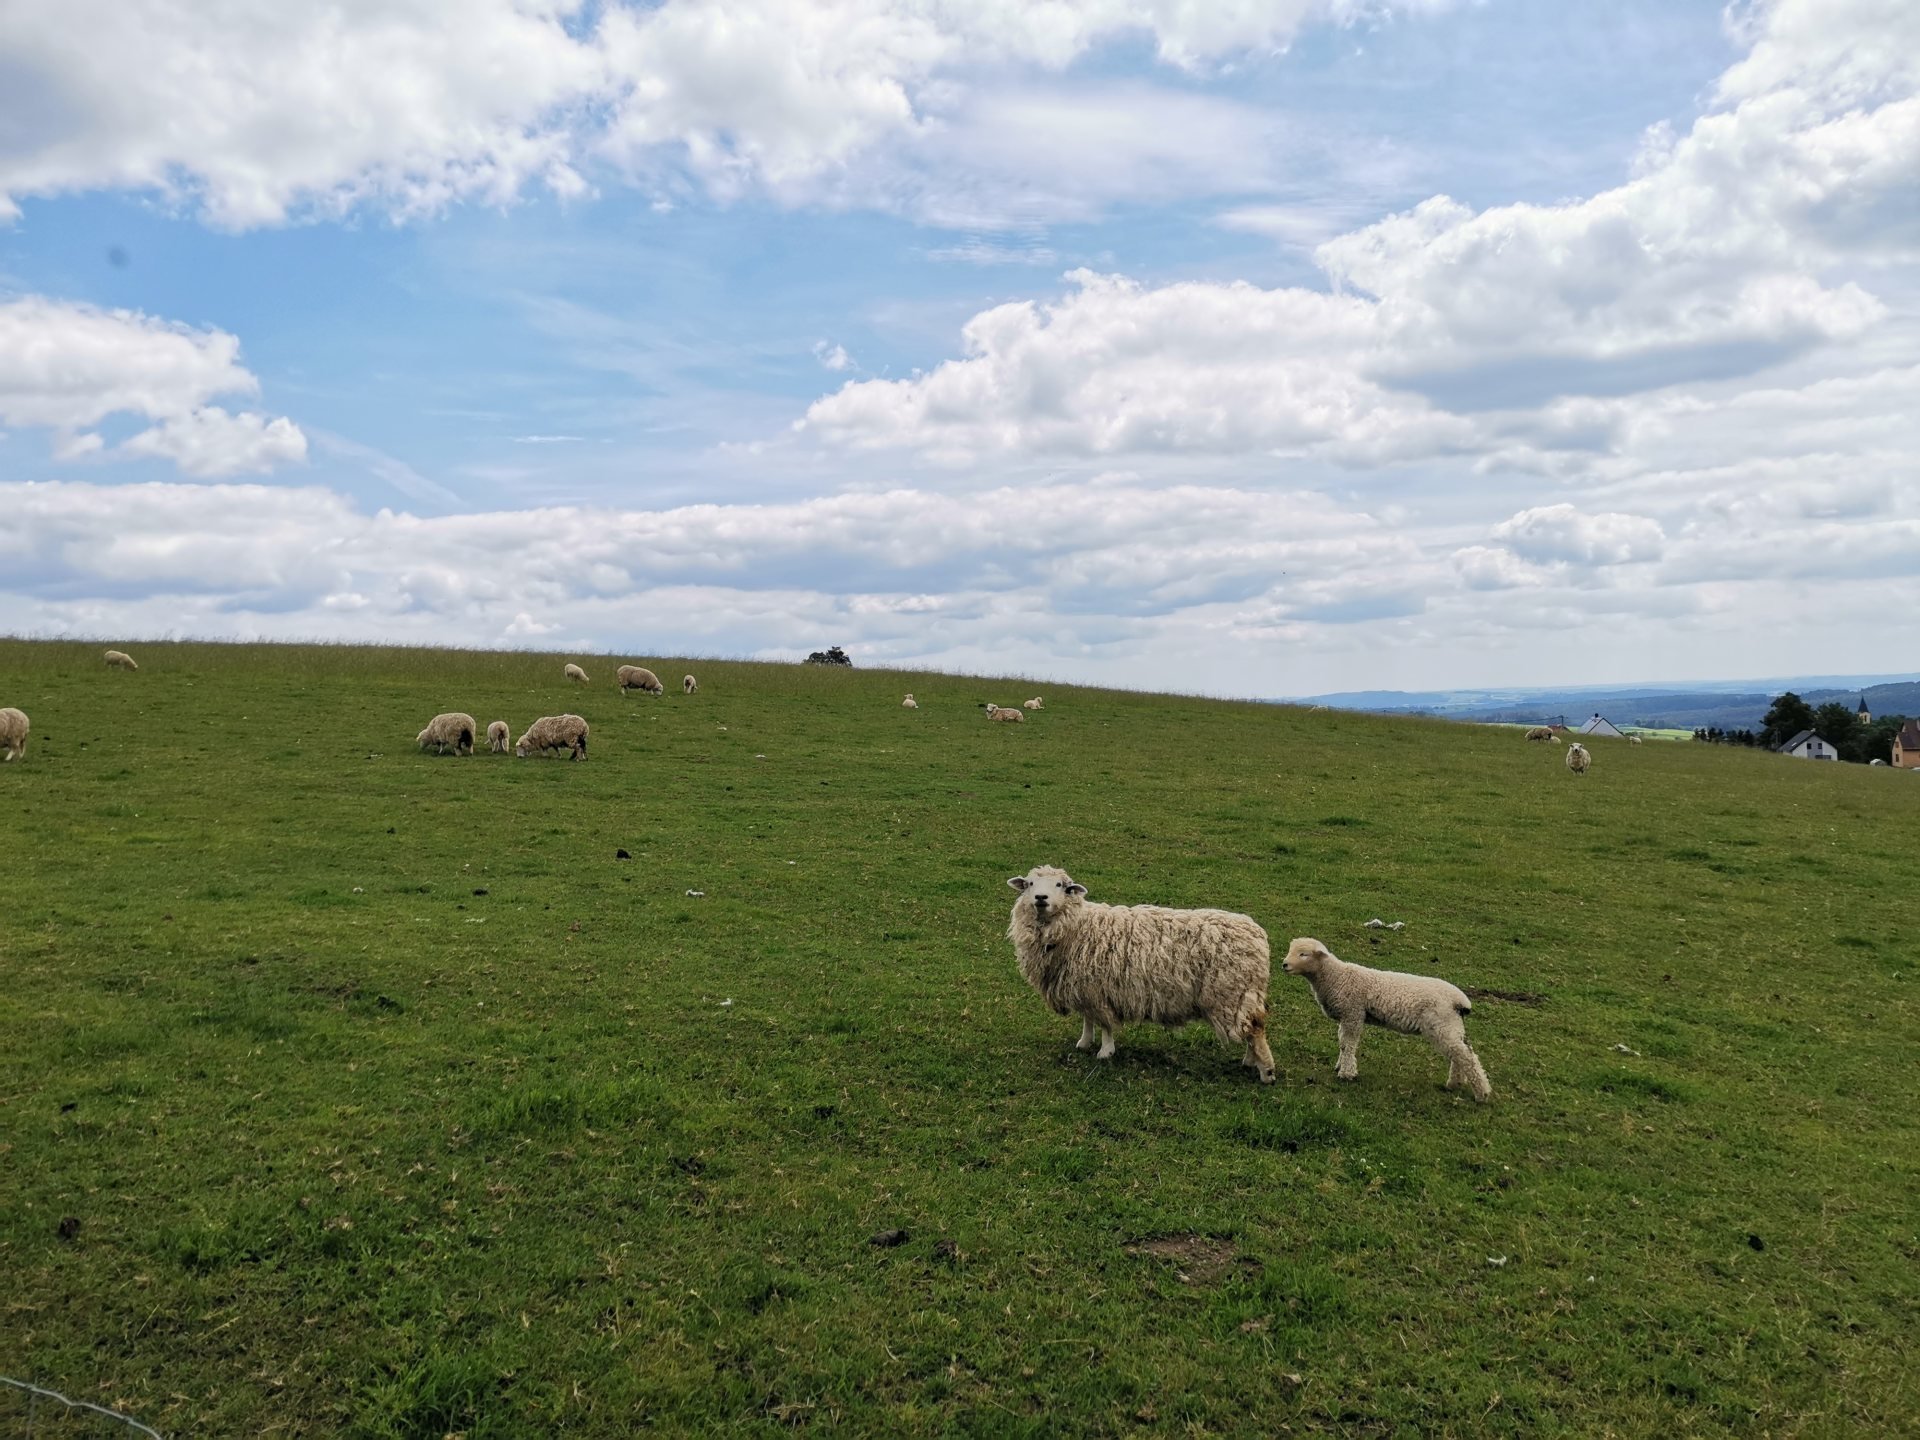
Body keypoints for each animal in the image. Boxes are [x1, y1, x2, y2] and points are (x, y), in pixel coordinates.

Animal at [1006, 865, 1276, 1083]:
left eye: (1060, 885)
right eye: (1030, 884)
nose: (1041, 898)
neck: (1077, 927)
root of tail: (1258, 935)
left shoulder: (1099, 990)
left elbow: (1105, 1024)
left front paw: (1105, 1052)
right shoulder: (1083, 987)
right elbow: (1087, 1018)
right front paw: (1084, 1042)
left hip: (1232, 994)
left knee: (1255, 1031)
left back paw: (1266, 1072)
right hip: (1242, 996)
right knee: (1252, 1029)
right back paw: (1250, 1062)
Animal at [1281, 937, 1492, 1102]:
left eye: (1304, 954)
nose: (1284, 964)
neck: (1336, 977)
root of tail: (1459, 1000)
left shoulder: (1353, 1014)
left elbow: (1349, 1044)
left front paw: (1347, 1073)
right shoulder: (1347, 1016)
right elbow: (1342, 1043)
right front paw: (1340, 1066)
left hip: (1442, 1024)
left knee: (1467, 1057)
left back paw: (1482, 1094)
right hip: (1451, 1026)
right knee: (1461, 1054)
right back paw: (1454, 1084)